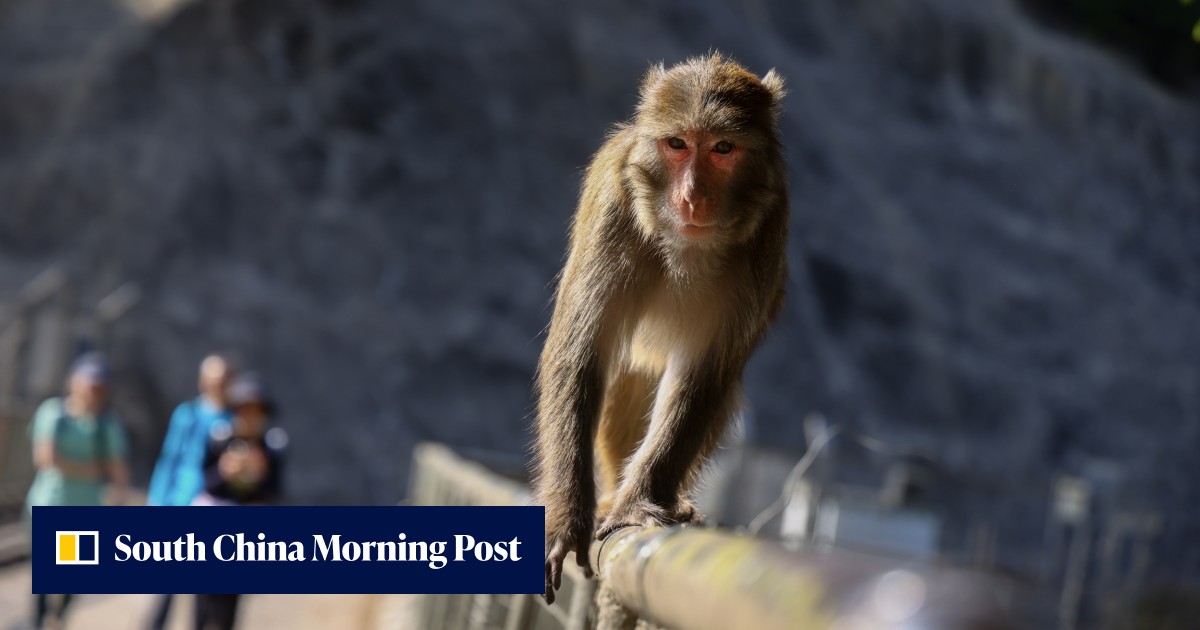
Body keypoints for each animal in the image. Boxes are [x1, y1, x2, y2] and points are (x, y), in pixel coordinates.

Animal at [533, 53, 788, 604]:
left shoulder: (768, 229)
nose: (692, 198)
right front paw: (566, 519)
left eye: (722, 149)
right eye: (677, 144)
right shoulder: (614, 209)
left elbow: (705, 373)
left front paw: (638, 506)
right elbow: (578, 354)